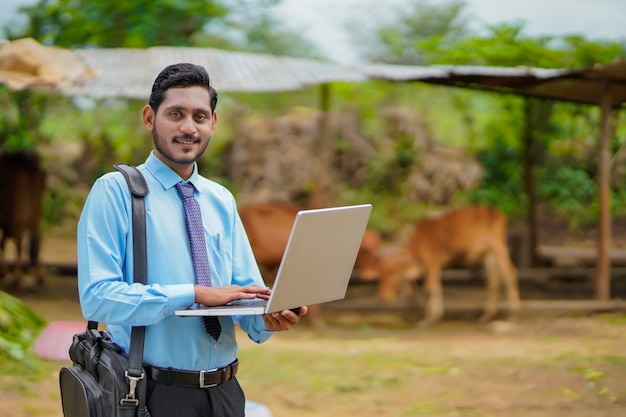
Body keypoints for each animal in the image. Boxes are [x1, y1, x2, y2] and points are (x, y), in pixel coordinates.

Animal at [0, 150, 46, 290]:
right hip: (36, 211)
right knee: (36, 238)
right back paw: (40, 278)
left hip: (17, 212)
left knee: (19, 240)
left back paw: (16, 278)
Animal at [378, 206, 520, 326]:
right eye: (381, 273)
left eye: (393, 271)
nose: (383, 296)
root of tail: (497, 213)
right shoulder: (434, 266)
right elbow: (437, 288)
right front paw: (436, 315)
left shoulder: (432, 262)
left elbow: (431, 288)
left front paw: (429, 318)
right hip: (488, 255)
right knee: (493, 281)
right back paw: (487, 315)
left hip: (499, 248)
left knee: (509, 274)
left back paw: (512, 313)